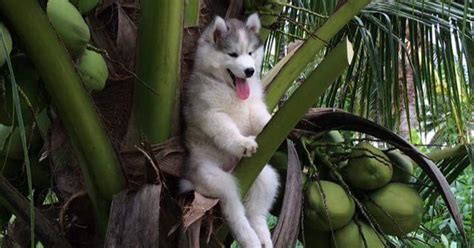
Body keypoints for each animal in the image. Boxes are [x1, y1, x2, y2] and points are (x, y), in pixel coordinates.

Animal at [181, 14, 278, 248]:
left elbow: (260, 118)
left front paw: (271, 121)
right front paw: (242, 143)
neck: (230, 89)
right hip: (213, 178)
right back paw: (250, 238)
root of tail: (233, 169)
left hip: (265, 175)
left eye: (250, 53)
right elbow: (226, 131)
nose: (250, 71)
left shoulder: (254, 106)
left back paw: (262, 235)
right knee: (233, 208)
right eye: (233, 54)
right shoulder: (211, 114)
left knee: (257, 210)